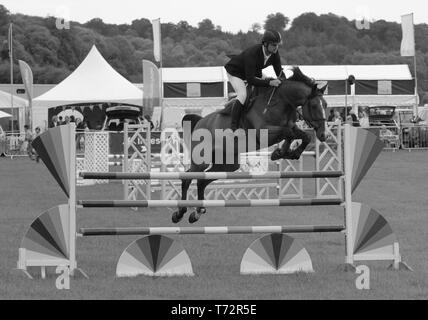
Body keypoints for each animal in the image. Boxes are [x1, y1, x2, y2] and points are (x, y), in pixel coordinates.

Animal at [171, 66, 328, 224]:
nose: (324, 135)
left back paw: (197, 212)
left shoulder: (290, 127)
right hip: (201, 160)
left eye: (326, 105)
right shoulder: (265, 132)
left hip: (228, 164)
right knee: (187, 178)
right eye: (314, 105)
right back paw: (180, 212)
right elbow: (288, 133)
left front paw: (286, 153)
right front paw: (282, 153)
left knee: (202, 181)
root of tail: (200, 121)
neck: (280, 102)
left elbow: (303, 135)